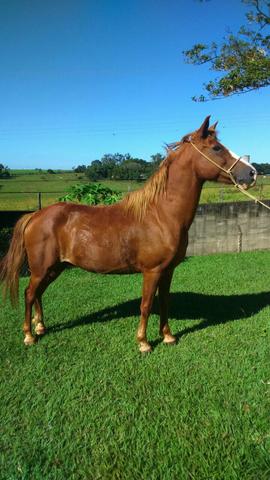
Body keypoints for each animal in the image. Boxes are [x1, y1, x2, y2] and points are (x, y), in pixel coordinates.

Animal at [0, 114, 258, 350]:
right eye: (216, 147)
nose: (252, 173)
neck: (161, 214)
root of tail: (35, 215)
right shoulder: (152, 271)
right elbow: (146, 305)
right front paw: (144, 342)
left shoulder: (168, 271)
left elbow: (164, 302)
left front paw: (168, 336)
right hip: (41, 269)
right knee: (29, 293)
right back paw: (29, 335)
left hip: (54, 268)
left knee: (38, 294)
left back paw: (40, 327)